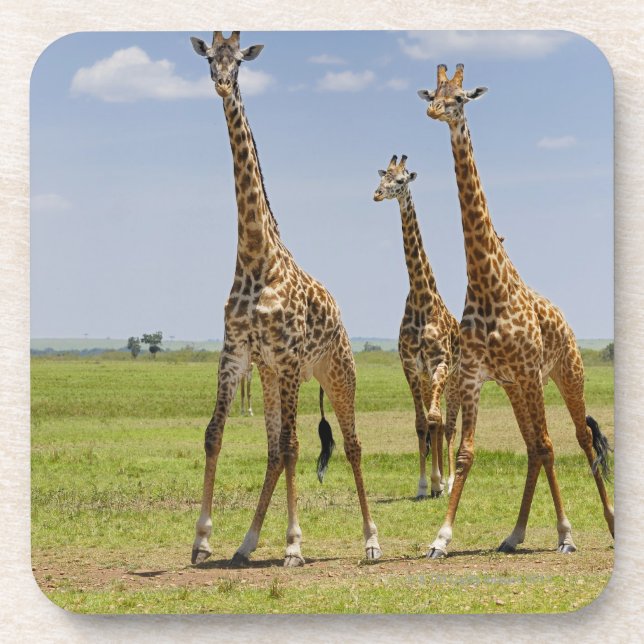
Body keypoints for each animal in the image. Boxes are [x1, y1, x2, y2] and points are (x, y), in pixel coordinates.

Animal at [189, 31, 381, 567]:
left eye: (239, 62)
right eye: (210, 59)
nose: (220, 82)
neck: (256, 257)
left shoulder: (291, 358)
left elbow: (297, 446)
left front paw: (295, 544)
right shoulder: (239, 353)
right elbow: (215, 435)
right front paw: (203, 538)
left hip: (337, 373)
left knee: (352, 445)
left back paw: (371, 540)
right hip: (273, 375)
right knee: (275, 450)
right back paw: (247, 542)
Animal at [373, 154, 460, 498]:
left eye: (401, 180)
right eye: (382, 177)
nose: (377, 194)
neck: (423, 300)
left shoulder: (440, 364)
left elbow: (437, 420)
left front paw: (441, 481)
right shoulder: (411, 366)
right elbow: (422, 423)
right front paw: (424, 484)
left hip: (452, 379)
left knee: (448, 424)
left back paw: (449, 481)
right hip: (427, 379)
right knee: (435, 423)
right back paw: (436, 482)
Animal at [417, 63, 614, 558]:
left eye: (460, 98)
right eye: (434, 92)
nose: (435, 111)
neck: (489, 284)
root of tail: (565, 320)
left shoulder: (525, 372)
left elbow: (552, 443)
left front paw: (566, 533)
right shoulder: (474, 376)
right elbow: (467, 453)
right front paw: (440, 539)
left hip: (565, 374)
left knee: (579, 438)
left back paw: (609, 522)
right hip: (516, 388)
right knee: (531, 446)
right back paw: (515, 533)